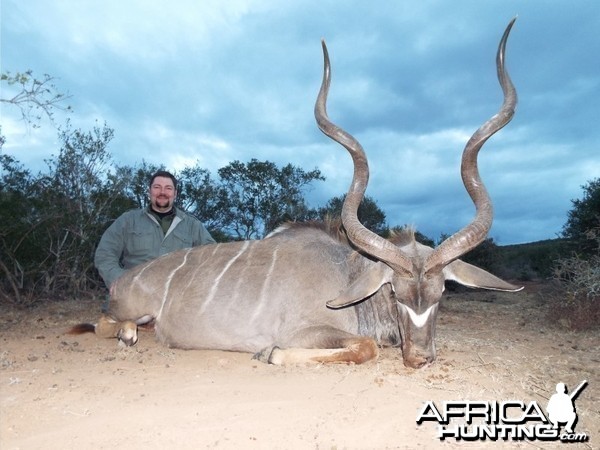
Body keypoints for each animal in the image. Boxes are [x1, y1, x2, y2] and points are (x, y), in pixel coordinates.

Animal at [69, 19, 520, 368]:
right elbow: (363, 347)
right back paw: (129, 332)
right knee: (106, 323)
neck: (349, 277)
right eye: (395, 291)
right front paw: (268, 353)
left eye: (443, 292)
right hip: (124, 310)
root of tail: (123, 280)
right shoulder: (304, 330)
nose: (420, 358)